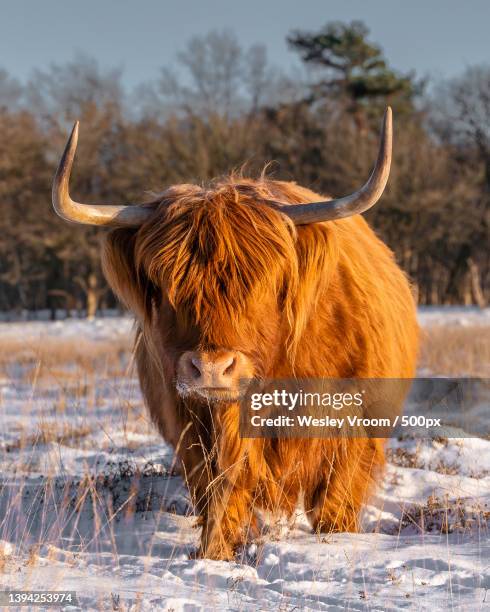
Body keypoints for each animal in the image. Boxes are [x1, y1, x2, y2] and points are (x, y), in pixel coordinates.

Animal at [52, 107, 418, 556]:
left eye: (264, 279)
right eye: (164, 283)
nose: (211, 368)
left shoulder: (352, 429)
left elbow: (335, 499)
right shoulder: (195, 429)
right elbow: (219, 492)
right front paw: (214, 552)